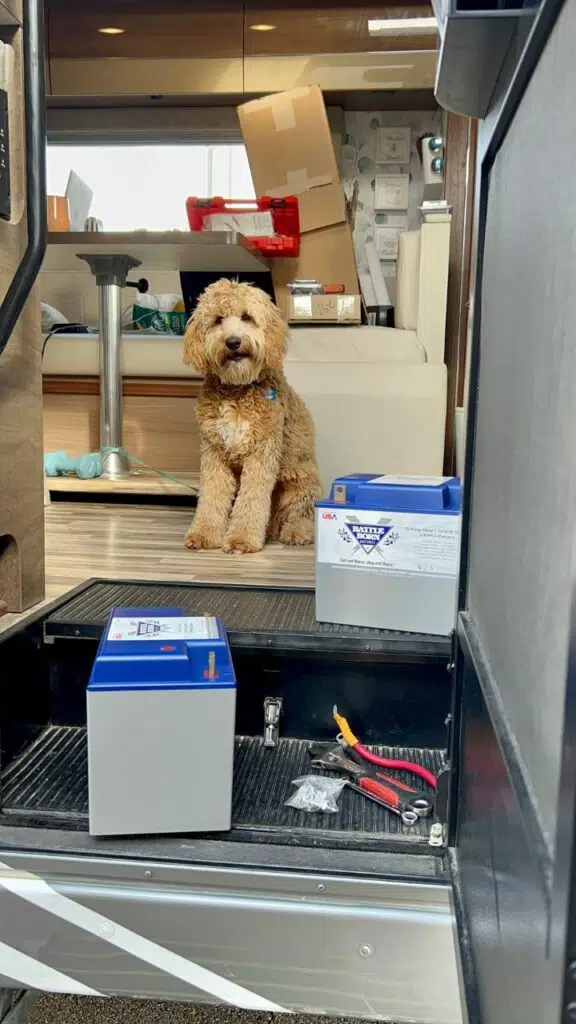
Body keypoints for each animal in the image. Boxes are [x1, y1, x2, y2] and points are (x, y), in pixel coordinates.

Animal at [181, 278, 319, 552]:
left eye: (247, 317)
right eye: (218, 319)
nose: (233, 342)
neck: (237, 389)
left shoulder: (262, 451)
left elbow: (252, 498)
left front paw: (241, 539)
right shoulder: (214, 452)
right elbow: (211, 496)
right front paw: (204, 534)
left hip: (299, 476)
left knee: (303, 512)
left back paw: (297, 532)